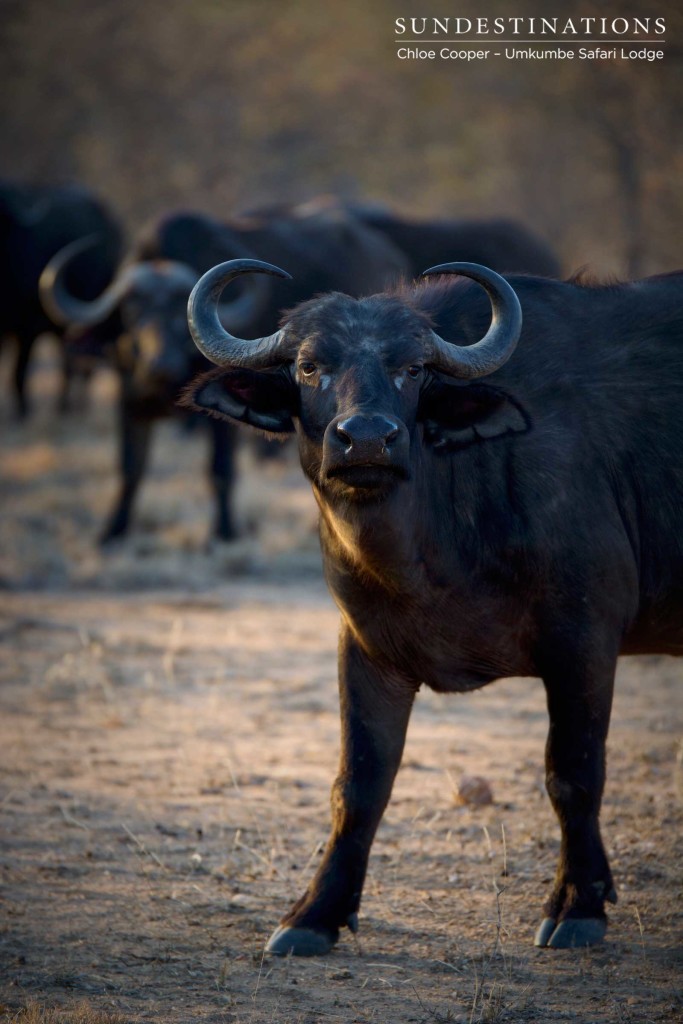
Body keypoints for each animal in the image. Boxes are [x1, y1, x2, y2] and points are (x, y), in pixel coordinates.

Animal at [184, 253, 679, 950]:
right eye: (309, 365)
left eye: (412, 368)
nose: (366, 439)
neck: (427, 550)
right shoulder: (367, 648)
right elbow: (359, 783)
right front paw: (313, 915)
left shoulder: (585, 639)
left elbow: (574, 773)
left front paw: (577, 906)